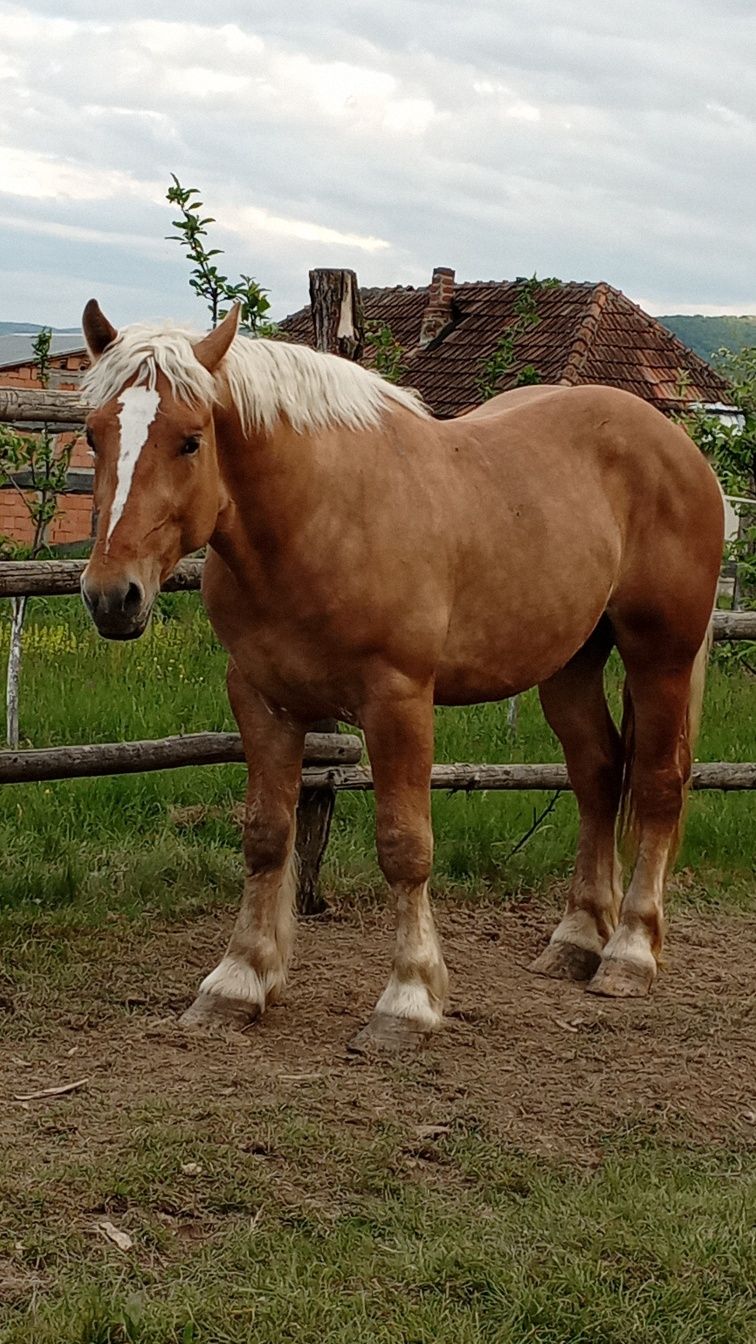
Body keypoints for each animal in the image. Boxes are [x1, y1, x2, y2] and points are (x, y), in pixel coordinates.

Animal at [79, 305, 721, 1048]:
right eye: (94, 434)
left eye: (190, 440)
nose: (111, 596)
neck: (320, 517)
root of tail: (678, 448)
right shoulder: (263, 700)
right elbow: (266, 836)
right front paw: (238, 981)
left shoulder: (399, 700)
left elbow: (405, 846)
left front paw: (408, 999)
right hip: (570, 665)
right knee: (597, 774)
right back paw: (576, 940)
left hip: (660, 654)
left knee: (657, 784)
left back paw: (629, 953)